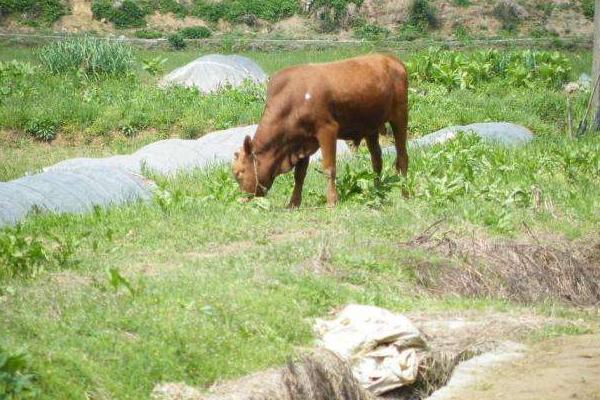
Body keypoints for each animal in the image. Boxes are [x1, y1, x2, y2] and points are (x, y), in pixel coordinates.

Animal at [230, 53, 408, 208]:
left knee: (402, 157)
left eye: (239, 173)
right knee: (376, 160)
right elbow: (299, 175)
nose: (242, 199)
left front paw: (331, 201)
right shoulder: (302, 140)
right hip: (371, 127)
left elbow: (329, 168)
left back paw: (405, 193)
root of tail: (391, 59)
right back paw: (377, 192)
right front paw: (293, 203)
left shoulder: (327, 129)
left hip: (400, 116)